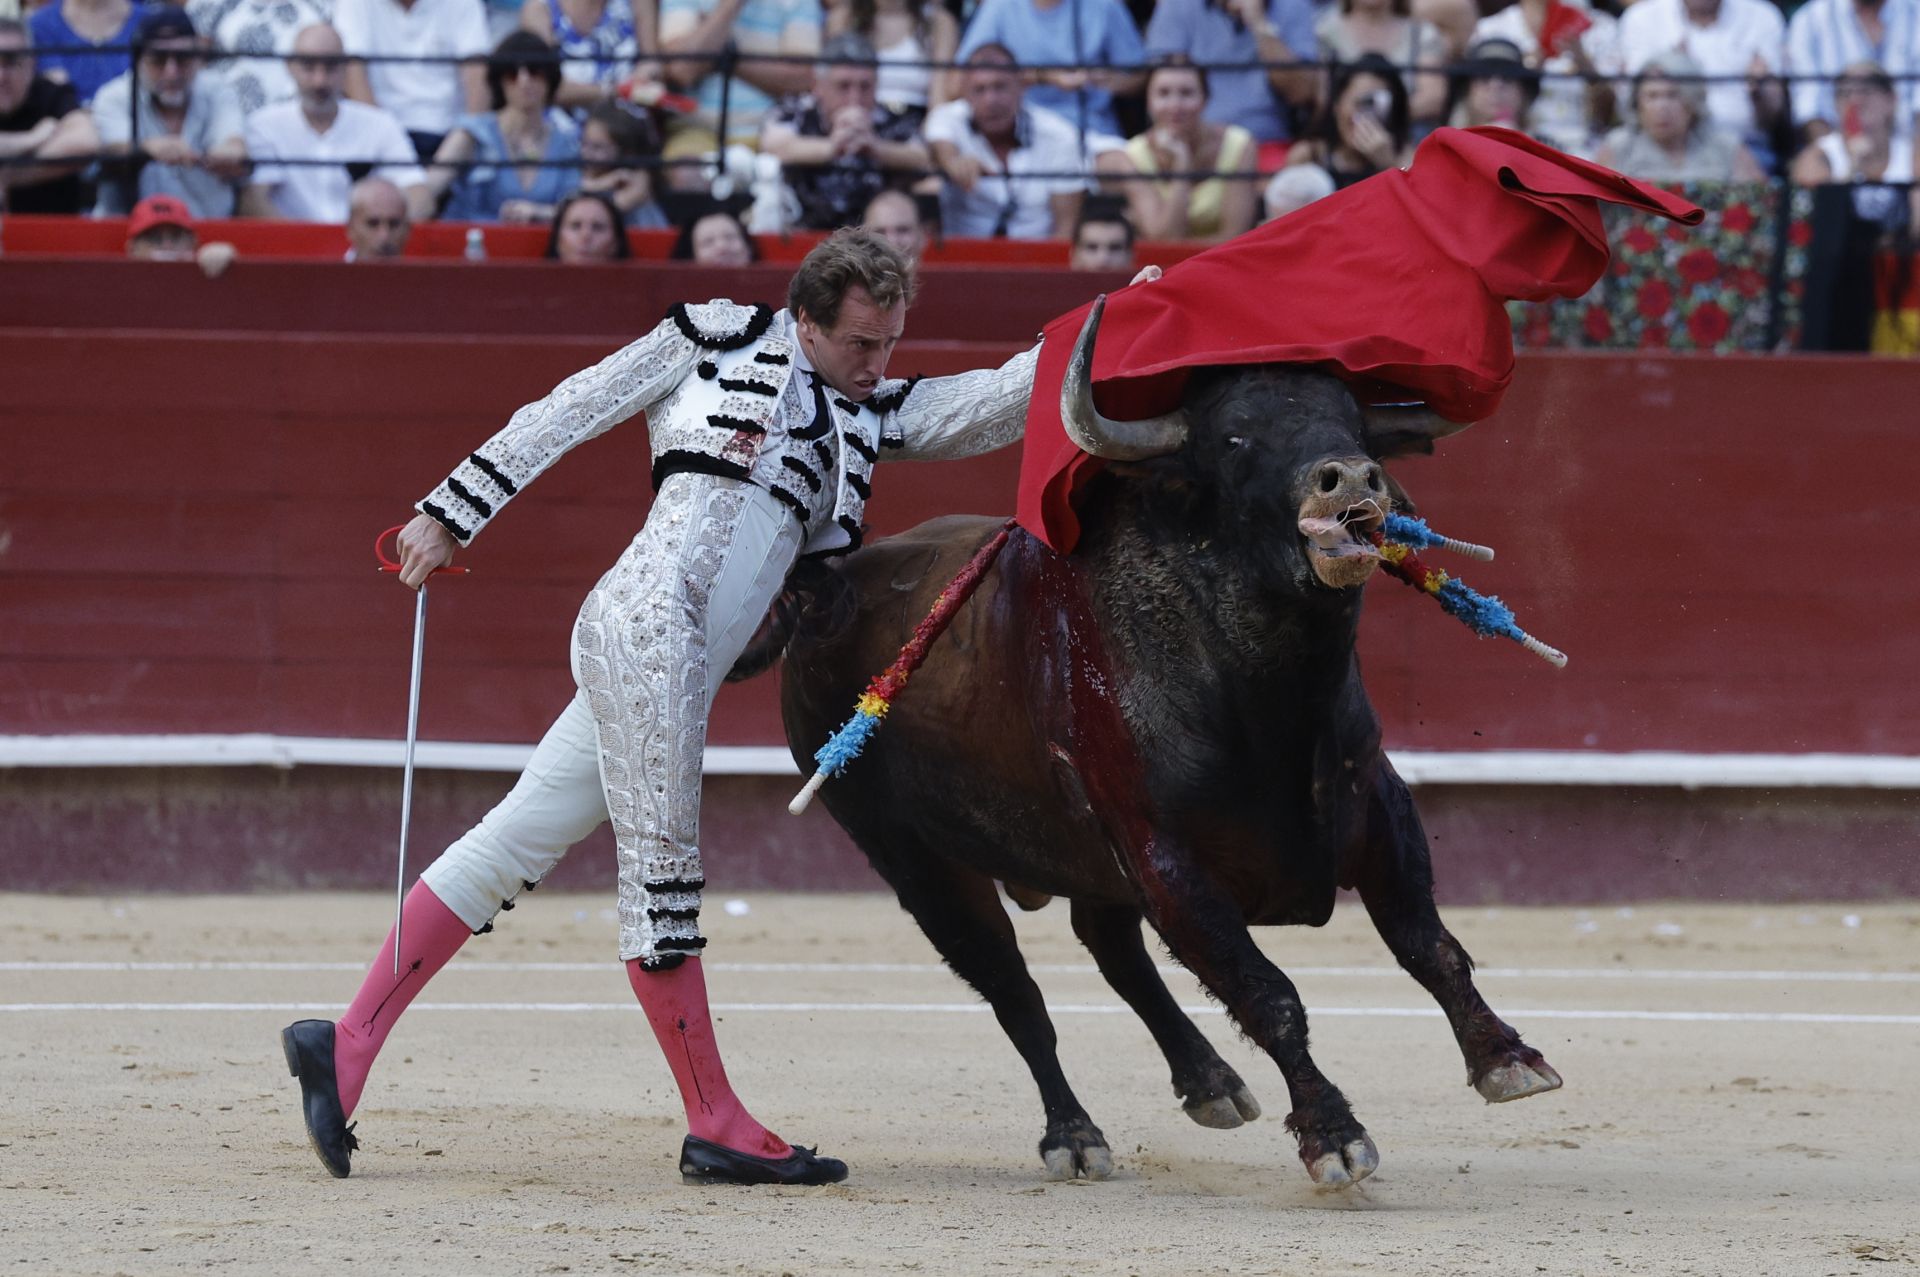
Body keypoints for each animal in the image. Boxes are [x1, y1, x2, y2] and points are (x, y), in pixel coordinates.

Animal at [760, 301, 1559, 1182]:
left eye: (1356, 423)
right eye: (1234, 438)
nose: (1350, 477)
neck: (1271, 692)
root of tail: (821, 592)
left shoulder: (1377, 804)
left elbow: (1430, 943)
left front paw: (1506, 1057)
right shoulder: (1166, 857)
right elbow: (1268, 993)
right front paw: (1334, 1134)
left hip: (1084, 856)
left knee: (1111, 949)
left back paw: (1210, 1082)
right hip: (915, 859)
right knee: (1014, 987)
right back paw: (1075, 1135)